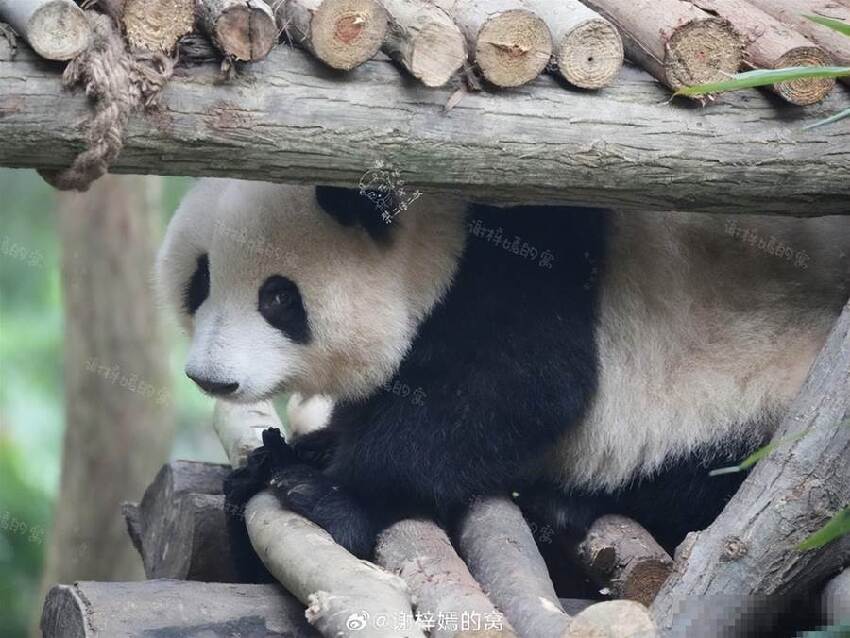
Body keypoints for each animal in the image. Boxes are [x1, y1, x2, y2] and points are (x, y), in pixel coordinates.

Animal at [154, 178, 848, 564]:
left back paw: (569, 504)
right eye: (200, 281)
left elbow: (512, 391)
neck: (448, 224)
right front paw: (281, 459)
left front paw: (330, 494)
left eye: (278, 298)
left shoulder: (527, 260)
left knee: (715, 470)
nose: (214, 379)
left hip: (753, 381)